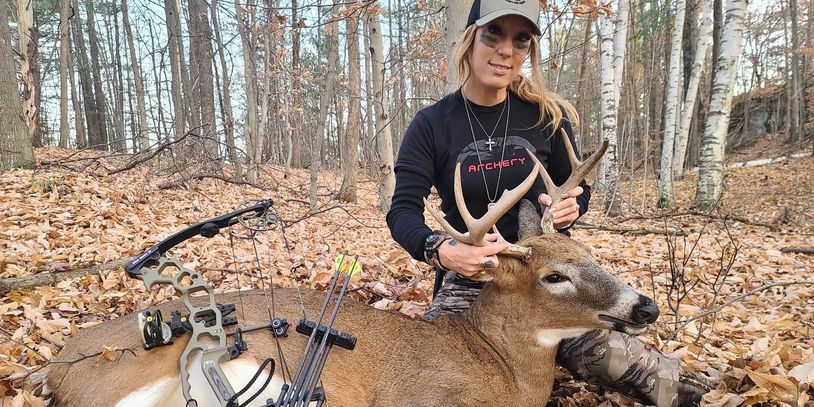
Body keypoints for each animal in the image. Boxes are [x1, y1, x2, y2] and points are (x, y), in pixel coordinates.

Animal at [46, 133, 659, 407]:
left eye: (593, 257)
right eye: (554, 276)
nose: (646, 305)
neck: (503, 373)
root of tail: (54, 367)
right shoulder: (422, 399)